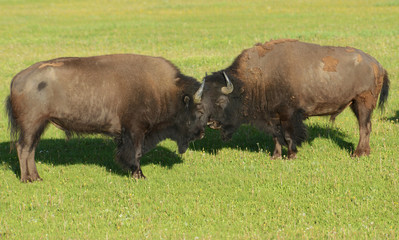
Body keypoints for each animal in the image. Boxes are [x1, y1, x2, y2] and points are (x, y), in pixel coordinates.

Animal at [6, 54, 208, 182]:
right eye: (197, 111)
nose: (201, 133)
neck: (163, 90)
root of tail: (17, 79)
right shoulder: (135, 130)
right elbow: (136, 153)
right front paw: (139, 175)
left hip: (39, 126)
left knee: (30, 150)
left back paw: (36, 177)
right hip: (32, 125)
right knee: (23, 148)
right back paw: (26, 179)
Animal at [197, 39, 390, 158]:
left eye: (221, 100)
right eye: (203, 100)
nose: (211, 123)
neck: (257, 78)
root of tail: (376, 64)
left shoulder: (288, 115)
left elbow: (289, 135)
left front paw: (291, 155)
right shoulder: (273, 117)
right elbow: (276, 137)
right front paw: (275, 156)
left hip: (363, 104)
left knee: (364, 127)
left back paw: (358, 153)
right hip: (357, 105)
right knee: (366, 127)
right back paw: (363, 152)